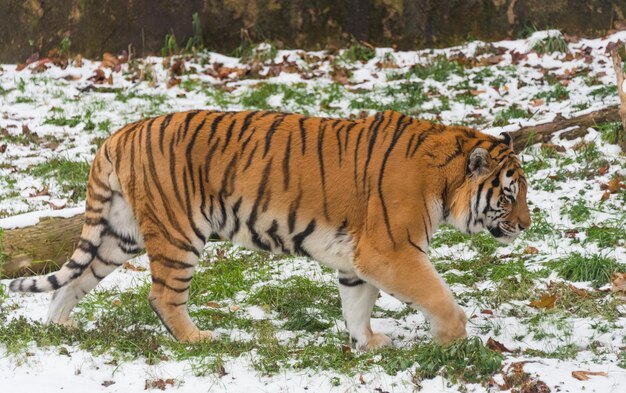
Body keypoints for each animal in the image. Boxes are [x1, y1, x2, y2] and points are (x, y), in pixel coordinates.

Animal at [9, 109, 528, 350]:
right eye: (509, 194)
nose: (526, 225)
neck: (446, 180)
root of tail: (120, 133)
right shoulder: (392, 251)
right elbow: (439, 297)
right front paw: (452, 341)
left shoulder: (357, 259)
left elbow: (357, 304)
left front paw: (367, 342)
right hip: (178, 233)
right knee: (162, 296)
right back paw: (197, 339)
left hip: (121, 235)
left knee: (73, 279)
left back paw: (61, 325)